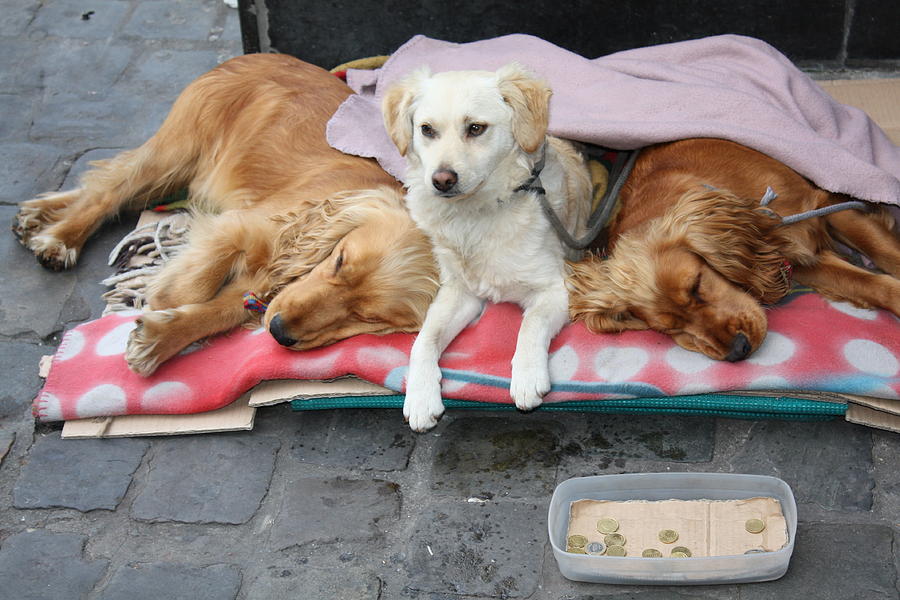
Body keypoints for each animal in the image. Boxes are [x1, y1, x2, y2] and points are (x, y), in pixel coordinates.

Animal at [12, 55, 438, 376]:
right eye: (339, 260)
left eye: (370, 318)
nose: (279, 333)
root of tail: (255, 55)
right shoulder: (239, 225)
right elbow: (196, 284)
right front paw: (161, 297)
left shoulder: (263, 287)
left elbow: (223, 309)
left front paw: (158, 340)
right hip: (177, 151)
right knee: (109, 188)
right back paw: (59, 239)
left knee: (107, 183)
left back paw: (35, 214)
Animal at [384, 64, 596, 432]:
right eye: (427, 129)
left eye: (475, 128)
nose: (442, 180)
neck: (476, 214)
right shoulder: (459, 291)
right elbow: (424, 340)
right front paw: (421, 397)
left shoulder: (558, 288)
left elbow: (530, 324)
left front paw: (527, 377)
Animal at [568, 137, 900, 360]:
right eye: (668, 329)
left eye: (697, 285)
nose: (738, 351)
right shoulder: (799, 262)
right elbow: (866, 283)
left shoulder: (825, 204)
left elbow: (883, 251)